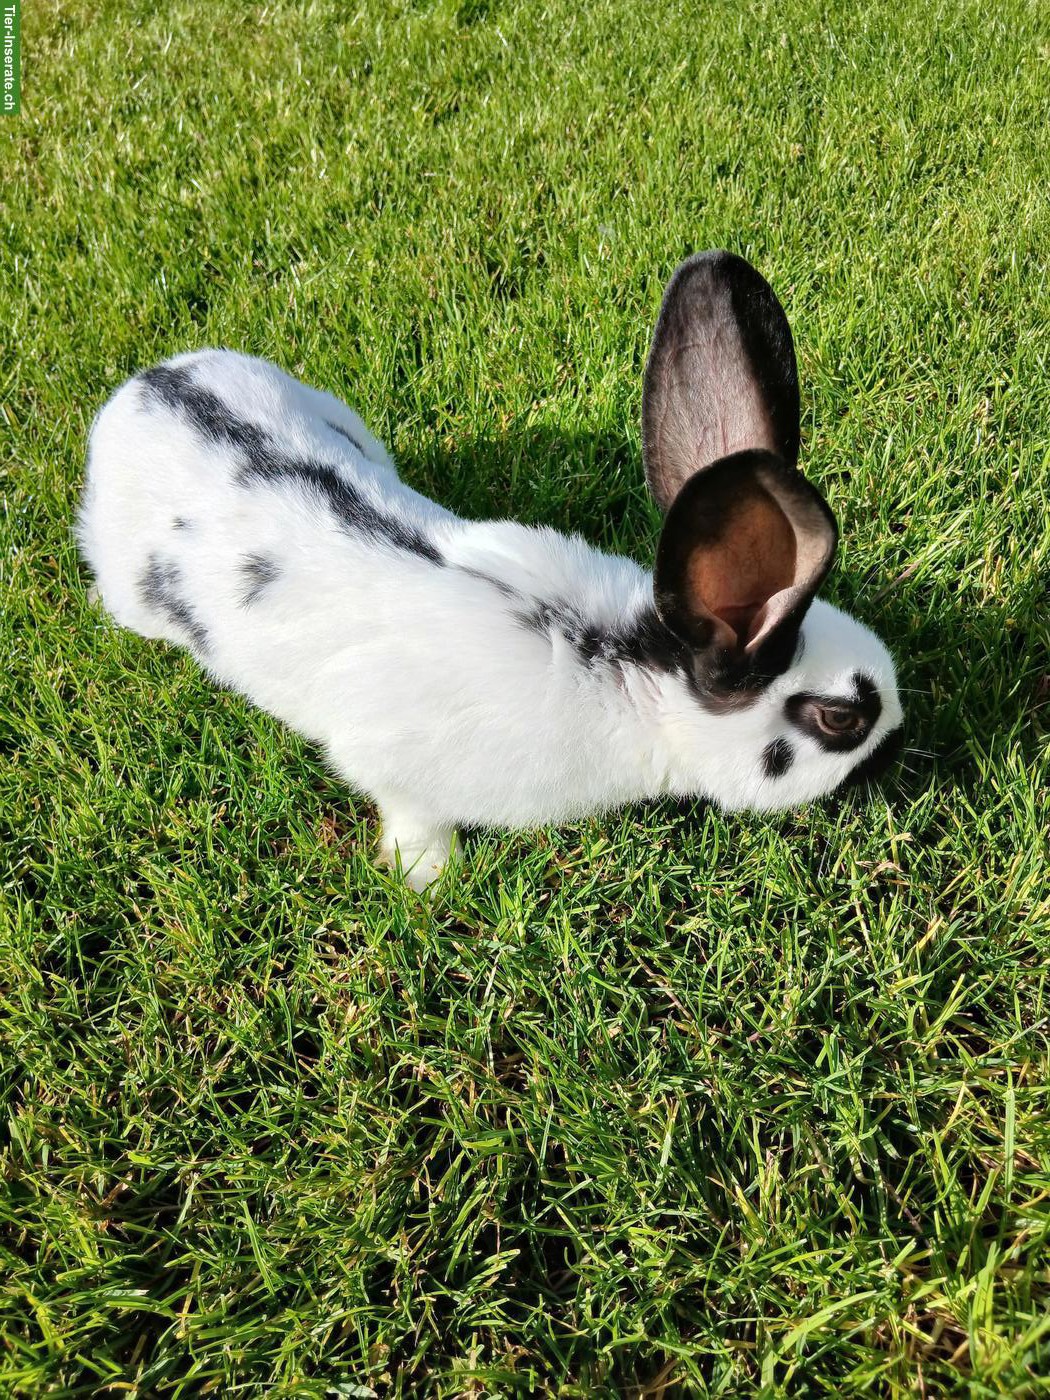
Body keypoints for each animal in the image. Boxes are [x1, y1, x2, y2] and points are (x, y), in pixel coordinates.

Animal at [78, 251, 903, 890]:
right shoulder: (388, 762)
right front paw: (424, 880)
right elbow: (411, 816)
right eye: (841, 718)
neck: (627, 677)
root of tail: (145, 385)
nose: (898, 738)